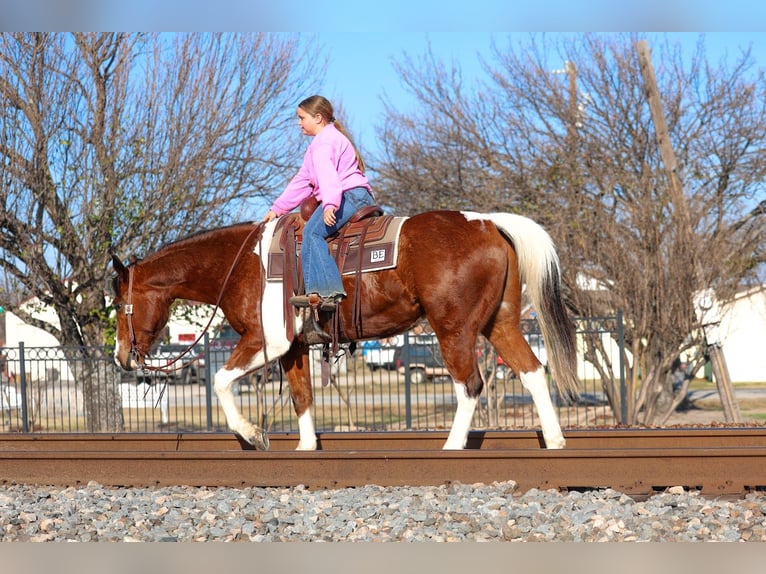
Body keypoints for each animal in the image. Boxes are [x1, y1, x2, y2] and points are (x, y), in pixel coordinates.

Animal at [110, 210, 579, 450]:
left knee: (470, 384)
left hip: (454, 328)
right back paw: (555, 441)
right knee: (533, 372)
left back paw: (452, 447)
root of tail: (486, 222)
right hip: (500, 322)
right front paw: (304, 448)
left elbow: (222, 382)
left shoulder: (265, 340)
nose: (122, 357)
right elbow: (302, 398)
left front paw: (253, 433)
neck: (242, 264)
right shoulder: (293, 348)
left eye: (117, 304)